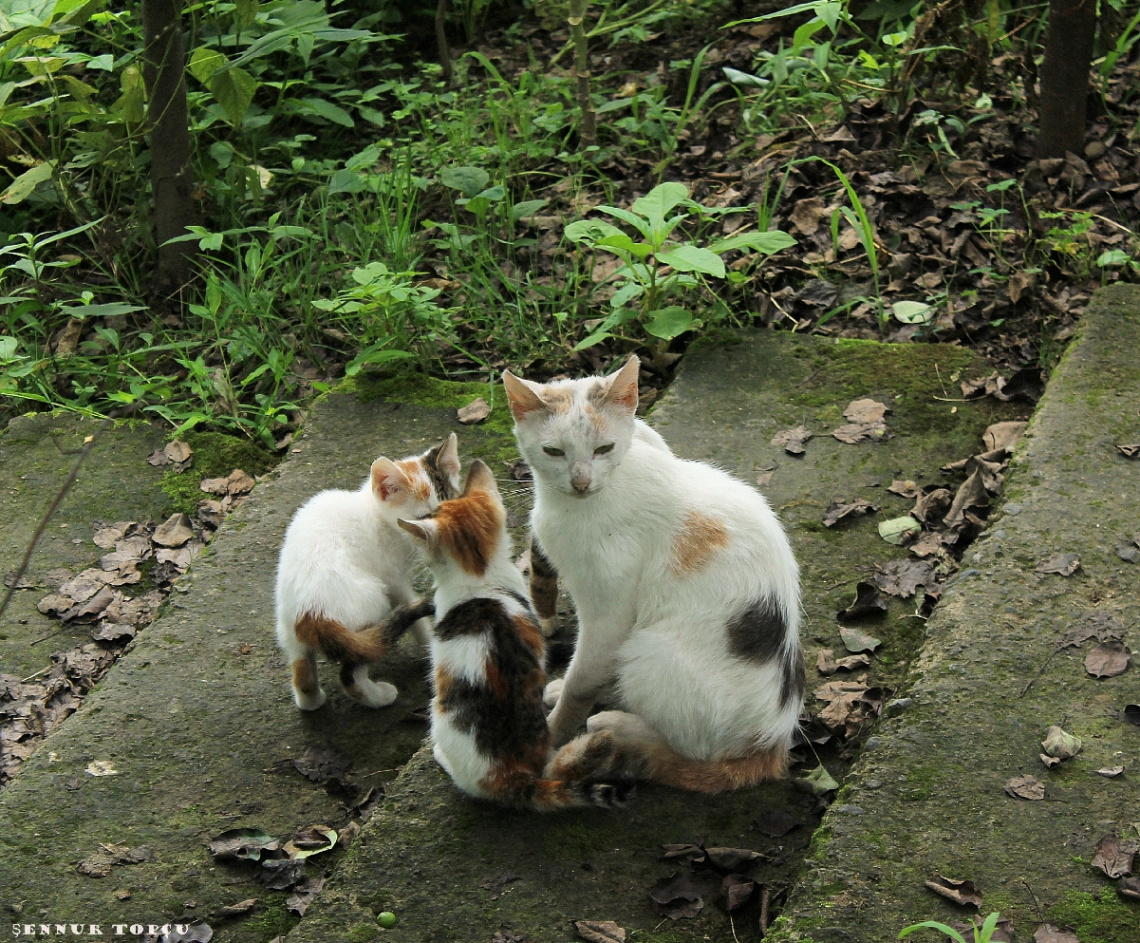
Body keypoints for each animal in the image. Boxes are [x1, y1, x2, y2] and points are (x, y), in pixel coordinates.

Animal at [273, 435, 460, 706]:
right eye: (424, 517)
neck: (380, 518)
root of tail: (311, 614)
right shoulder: (392, 579)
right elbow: (414, 614)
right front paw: (429, 646)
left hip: (288, 629)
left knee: (302, 674)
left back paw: (312, 699)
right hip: (371, 604)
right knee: (352, 671)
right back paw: (379, 697)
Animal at [503, 358, 807, 793]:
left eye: (604, 448)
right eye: (553, 452)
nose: (581, 482)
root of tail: (772, 747)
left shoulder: (609, 613)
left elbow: (583, 681)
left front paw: (551, 736)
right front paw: (560, 695)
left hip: (647, 650)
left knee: (685, 750)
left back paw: (616, 725)